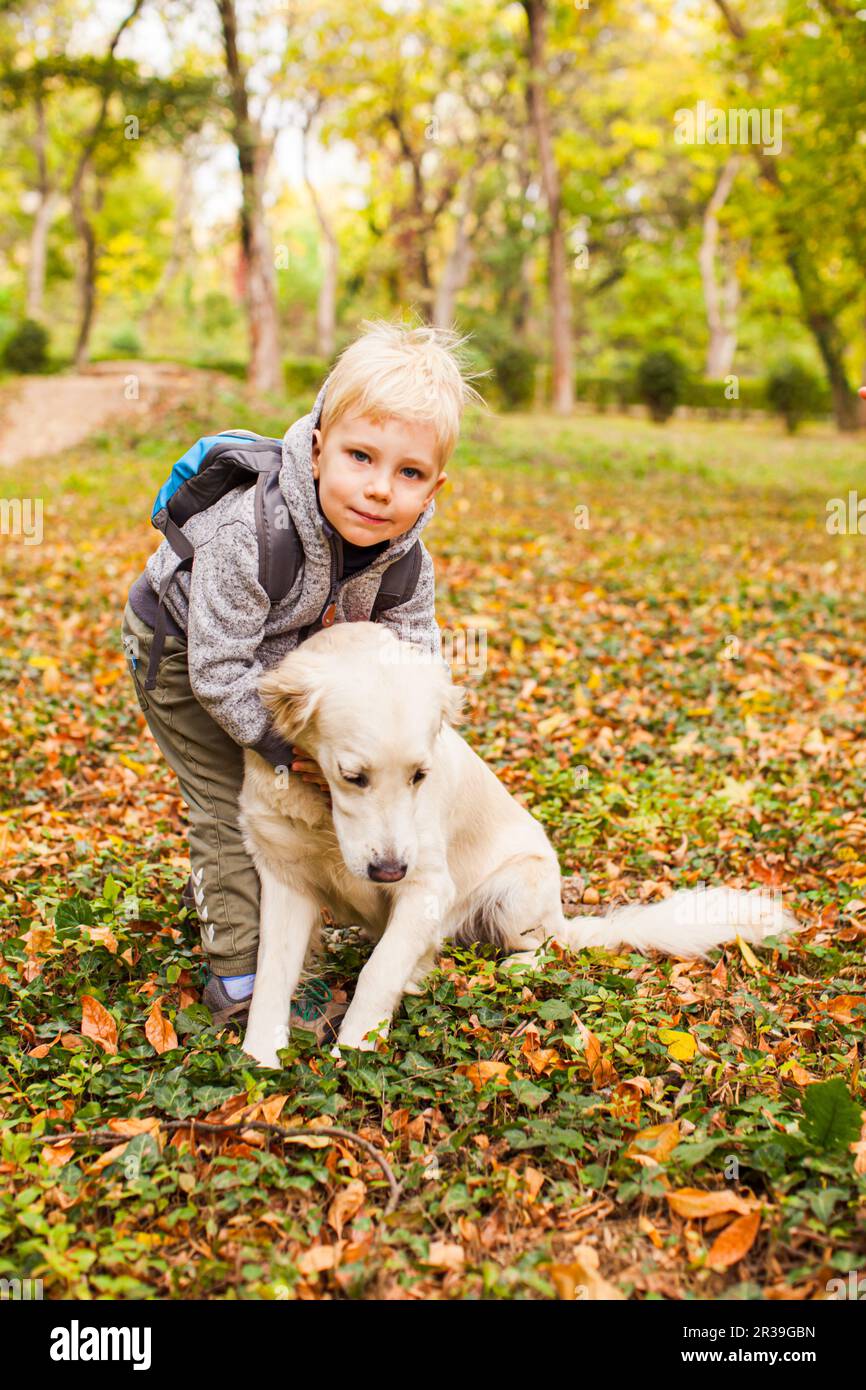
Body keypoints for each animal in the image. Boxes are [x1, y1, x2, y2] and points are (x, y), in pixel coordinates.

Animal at [237, 625, 800, 1067]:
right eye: (352, 776)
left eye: (420, 775)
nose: (390, 872)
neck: (325, 816)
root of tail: (560, 916)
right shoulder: (284, 878)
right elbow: (271, 973)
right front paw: (258, 1056)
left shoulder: (427, 886)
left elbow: (379, 972)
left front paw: (354, 1050)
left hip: (516, 893)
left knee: (548, 948)